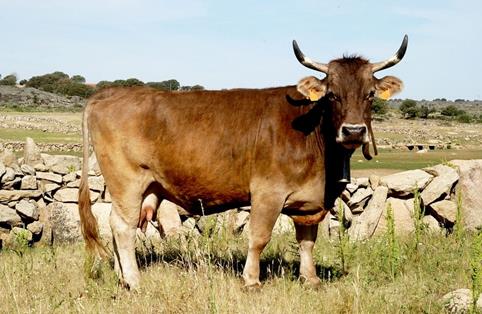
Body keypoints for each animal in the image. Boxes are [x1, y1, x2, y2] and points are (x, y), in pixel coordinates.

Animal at [78, 36, 406, 290]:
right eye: (332, 95)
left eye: (370, 94)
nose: (354, 131)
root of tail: (110, 93)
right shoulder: (267, 192)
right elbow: (259, 237)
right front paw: (251, 280)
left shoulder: (309, 202)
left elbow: (307, 240)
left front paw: (310, 279)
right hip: (127, 182)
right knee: (122, 226)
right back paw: (134, 281)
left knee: (119, 225)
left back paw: (122, 276)